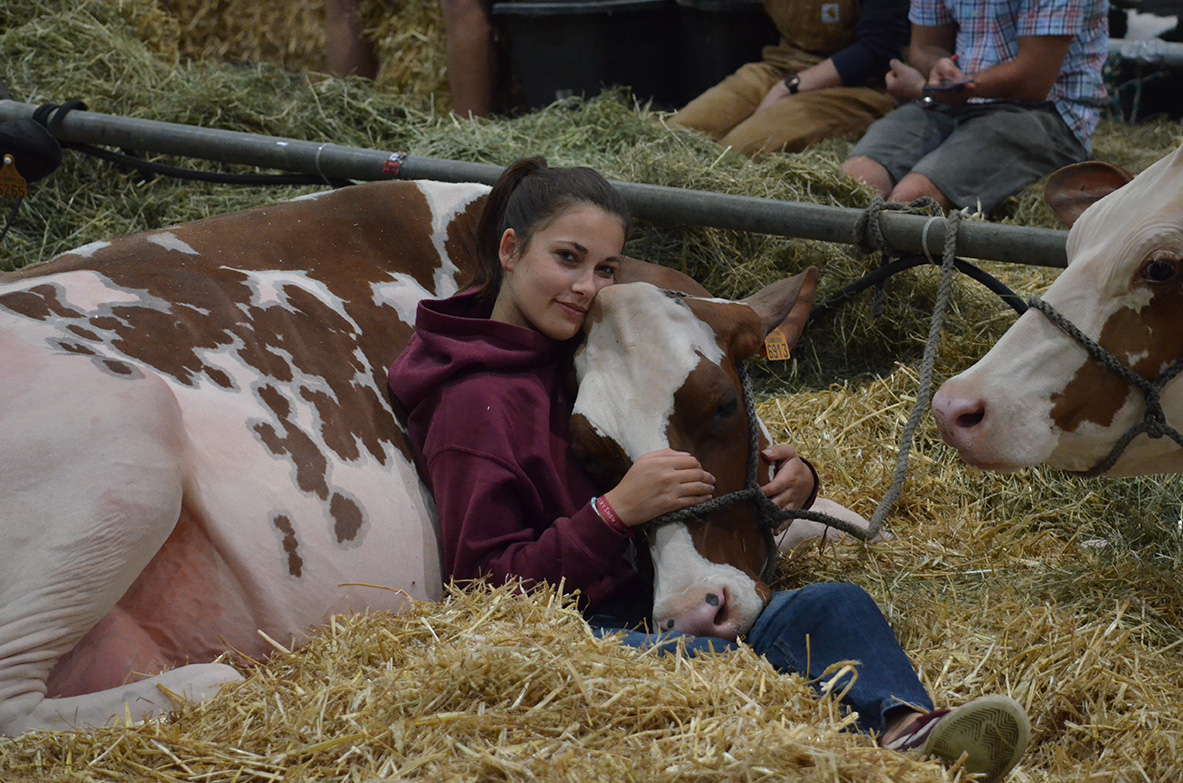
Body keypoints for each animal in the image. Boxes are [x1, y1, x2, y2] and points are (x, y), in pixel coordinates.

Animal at [0, 176, 832, 738]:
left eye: (721, 405)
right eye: (589, 452)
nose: (694, 607)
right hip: (125, 445)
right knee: (19, 703)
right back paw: (210, 679)